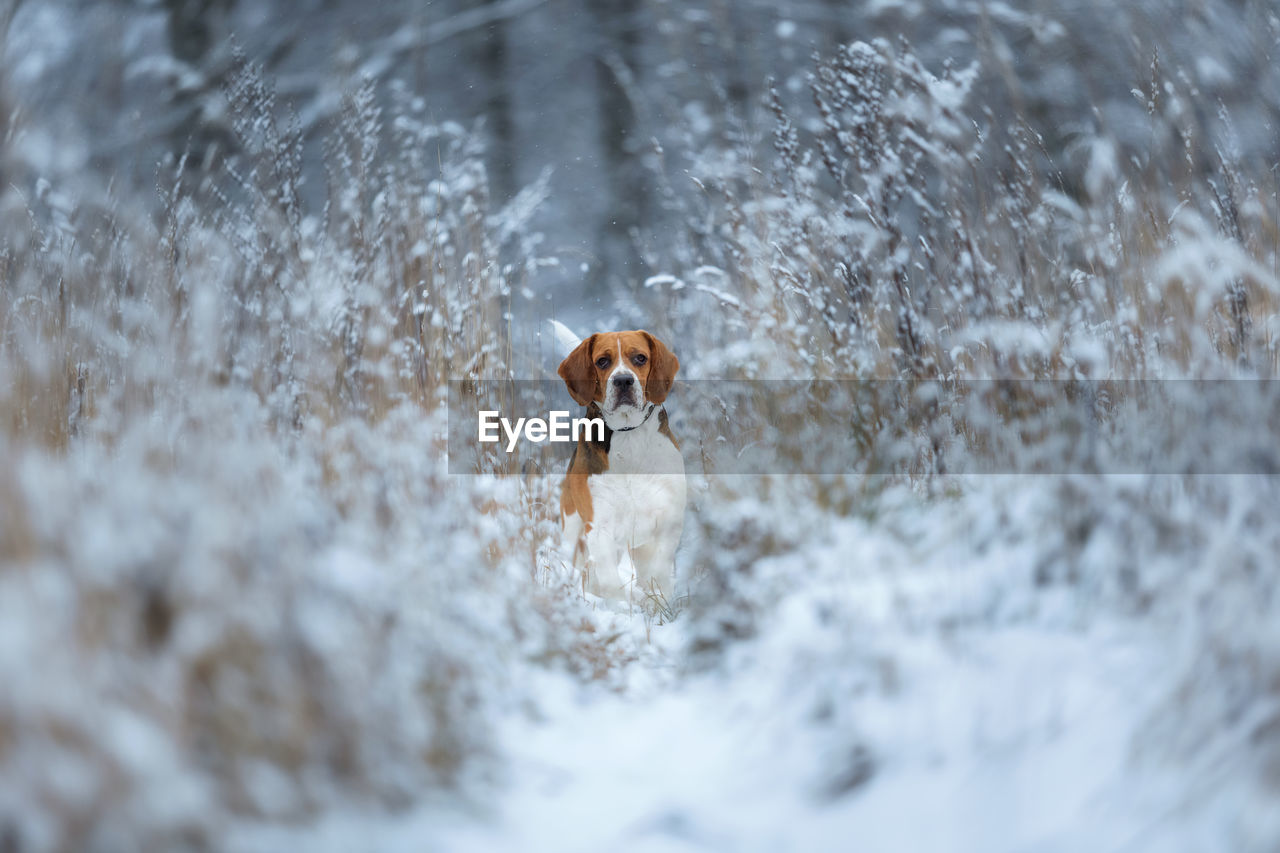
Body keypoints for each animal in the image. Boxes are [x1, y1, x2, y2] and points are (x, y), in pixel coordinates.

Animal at [555, 327, 686, 601]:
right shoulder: (600, 527)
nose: (623, 380)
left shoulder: (668, 522)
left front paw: (658, 602)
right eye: (602, 361)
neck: (628, 434)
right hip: (572, 532)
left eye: (640, 358)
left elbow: (659, 571)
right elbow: (610, 581)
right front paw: (621, 605)